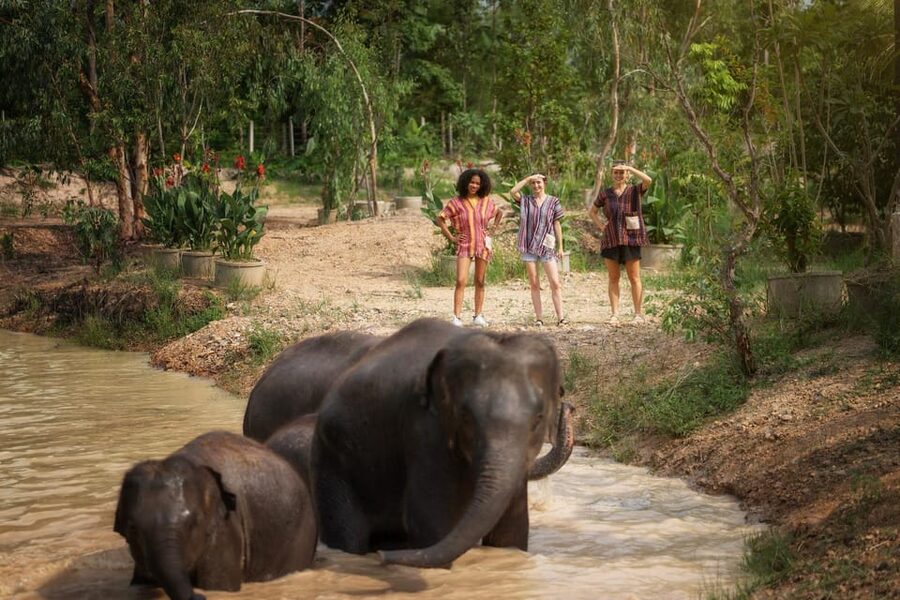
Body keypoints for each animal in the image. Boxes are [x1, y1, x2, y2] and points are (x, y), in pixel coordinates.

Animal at [310, 318, 574, 568]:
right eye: (466, 418)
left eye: (538, 418)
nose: (570, 408)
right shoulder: (423, 430)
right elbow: (430, 522)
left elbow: (511, 530)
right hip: (331, 462)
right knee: (348, 535)